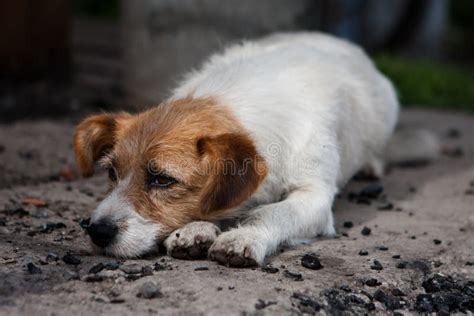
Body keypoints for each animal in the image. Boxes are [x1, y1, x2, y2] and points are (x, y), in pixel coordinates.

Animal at [74, 32, 404, 266]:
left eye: (163, 179)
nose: (97, 231)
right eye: (112, 173)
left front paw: (244, 235)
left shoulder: (314, 197)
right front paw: (195, 230)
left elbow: (273, 213)